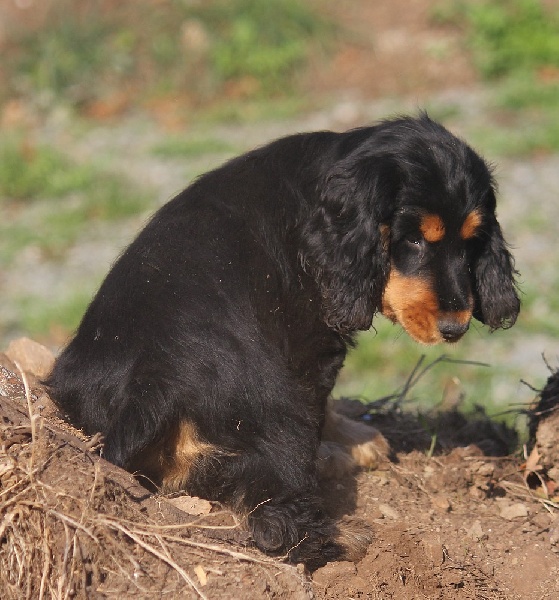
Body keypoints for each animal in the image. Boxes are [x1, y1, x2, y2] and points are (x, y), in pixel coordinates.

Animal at [47, 114, 519, 566]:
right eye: (415, 239)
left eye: (473, 241)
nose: (456, 328)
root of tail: (152, 382)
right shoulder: (312, 340)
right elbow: (323, 404)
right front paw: (351, 445)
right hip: (278, 415)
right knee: (279, 522)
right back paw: (349, 537)